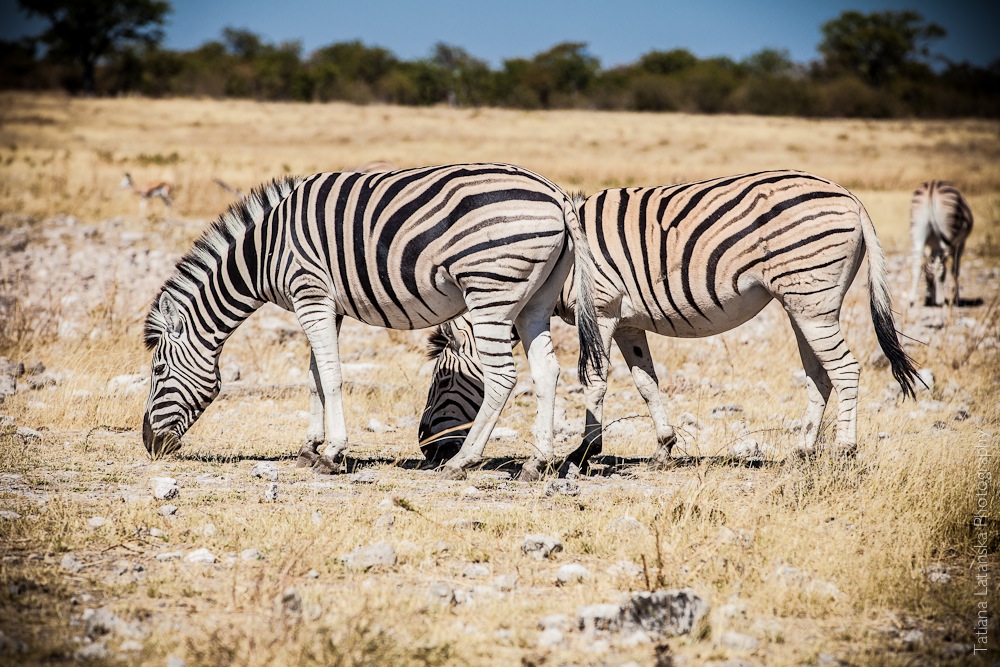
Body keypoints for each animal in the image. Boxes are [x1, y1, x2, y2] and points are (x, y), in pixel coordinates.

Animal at [141, 165, 600, 482]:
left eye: (158, 370)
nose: (148, 444)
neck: (266, 252)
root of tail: (556, 193)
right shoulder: (328, 306)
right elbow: (314, 376)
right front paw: (309, 448)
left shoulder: (311, 294)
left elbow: (330, 375)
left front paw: (331, 454)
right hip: (534, 301)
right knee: (547, 371)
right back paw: (535, 463)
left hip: (490, 290)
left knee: (503, 376)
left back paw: (461, 462)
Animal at [416, 170, 920, 472]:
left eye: (443, 381)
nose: (426, 448)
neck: (564, 256)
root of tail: (851, 198)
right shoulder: (628, 322)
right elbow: (646, 382)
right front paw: (663, 446)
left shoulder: (601, 311)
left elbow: (595, 379)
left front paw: (584, 453)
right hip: (803, 304)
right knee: (820, 373)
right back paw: (802, 450)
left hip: (811, 299)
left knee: (846, 369)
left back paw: (845, 450)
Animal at [912, 181, 972, 310]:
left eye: (926, 277)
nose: (929, 299)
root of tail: (932, 187)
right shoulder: (961, 243)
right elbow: (954, 270)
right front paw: (956, 299)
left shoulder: (934, 245)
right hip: (946, 228)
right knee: (939, 267)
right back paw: (941, 301)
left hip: (918, 231)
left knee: (917, 264)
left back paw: (912, 300)